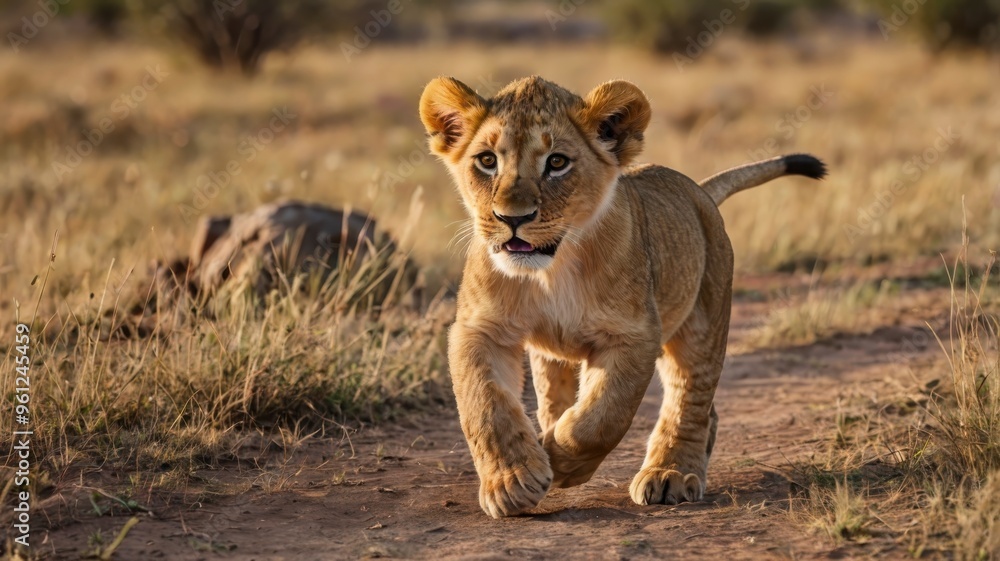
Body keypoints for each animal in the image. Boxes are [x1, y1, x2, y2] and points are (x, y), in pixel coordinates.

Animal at [418, 76, 826, 518]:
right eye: (487, 160)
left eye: (557, 163)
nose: (513, 218)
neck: (552, 271)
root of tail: (697, 189)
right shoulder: (479, 329)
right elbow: (485, 406)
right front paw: (511, 481)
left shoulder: (633, 334)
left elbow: (601, 417)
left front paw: (559, 461)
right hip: (554, 353)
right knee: (556, 390)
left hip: (701, 323)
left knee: (690, 397)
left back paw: (671, 473)